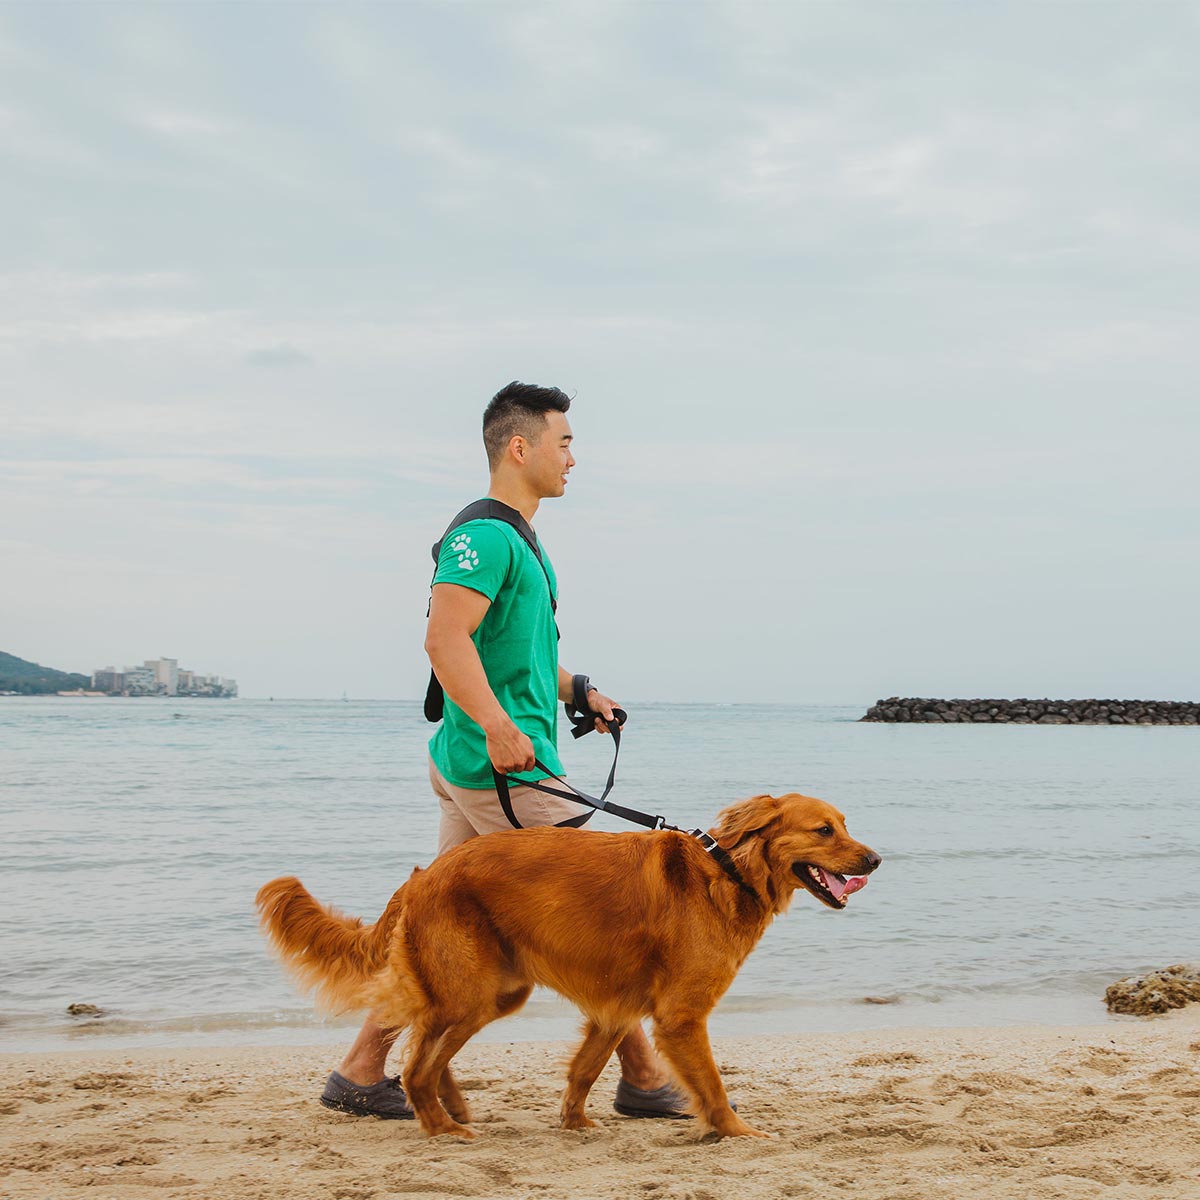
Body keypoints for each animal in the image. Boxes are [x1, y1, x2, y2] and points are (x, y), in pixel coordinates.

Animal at [260, 792, 883, 1137]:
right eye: (823, 830)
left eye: (846, 824)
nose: (876, 860)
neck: (727, 874)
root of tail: (423, 875)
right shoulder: (682, 1016)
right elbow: (712, 1085)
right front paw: (736, 1131)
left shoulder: (617, 1008)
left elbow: (586, 1068)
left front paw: (575, 1122)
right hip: (470, 994)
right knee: (417, 1063)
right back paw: (439, 1125)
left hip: (492, 993)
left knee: (423, 1045)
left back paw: (450, 1107)